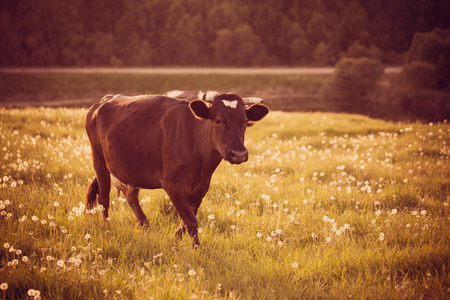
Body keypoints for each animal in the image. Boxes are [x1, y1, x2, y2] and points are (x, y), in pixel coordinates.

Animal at [84, 92, 268, 246]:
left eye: (245, 122)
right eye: (218, 121)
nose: (239, 154)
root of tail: (104, 100)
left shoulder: (200, 188)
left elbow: (187, 219)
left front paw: (175, 239)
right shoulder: (172, 185)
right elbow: (191, 221)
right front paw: (197, 249)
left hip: (130, 170)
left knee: (131, 196)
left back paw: (145, 225)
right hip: (99, 160)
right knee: (103, 198)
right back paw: (107, 229)